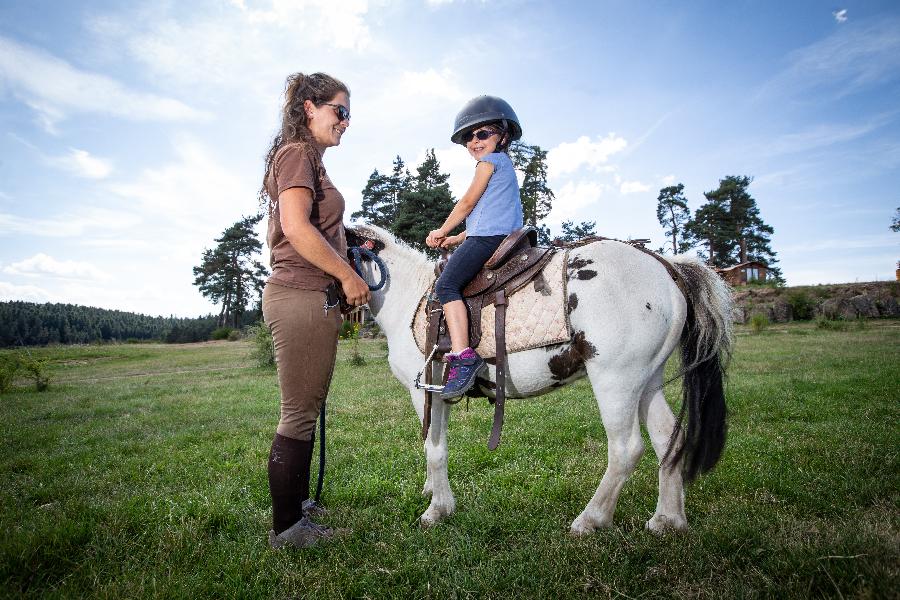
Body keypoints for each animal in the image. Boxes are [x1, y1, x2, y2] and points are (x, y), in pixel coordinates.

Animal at [344, 225, 732, 536]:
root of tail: (665, 266)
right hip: (647, 381)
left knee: (626, 449)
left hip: (616, 381)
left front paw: (437, 510)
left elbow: (435, 449)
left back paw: (590, 520)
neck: (409, 299)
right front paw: (432, 493)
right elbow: (434, 446)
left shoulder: (429, 393)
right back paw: (667, 520)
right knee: (669, 438)